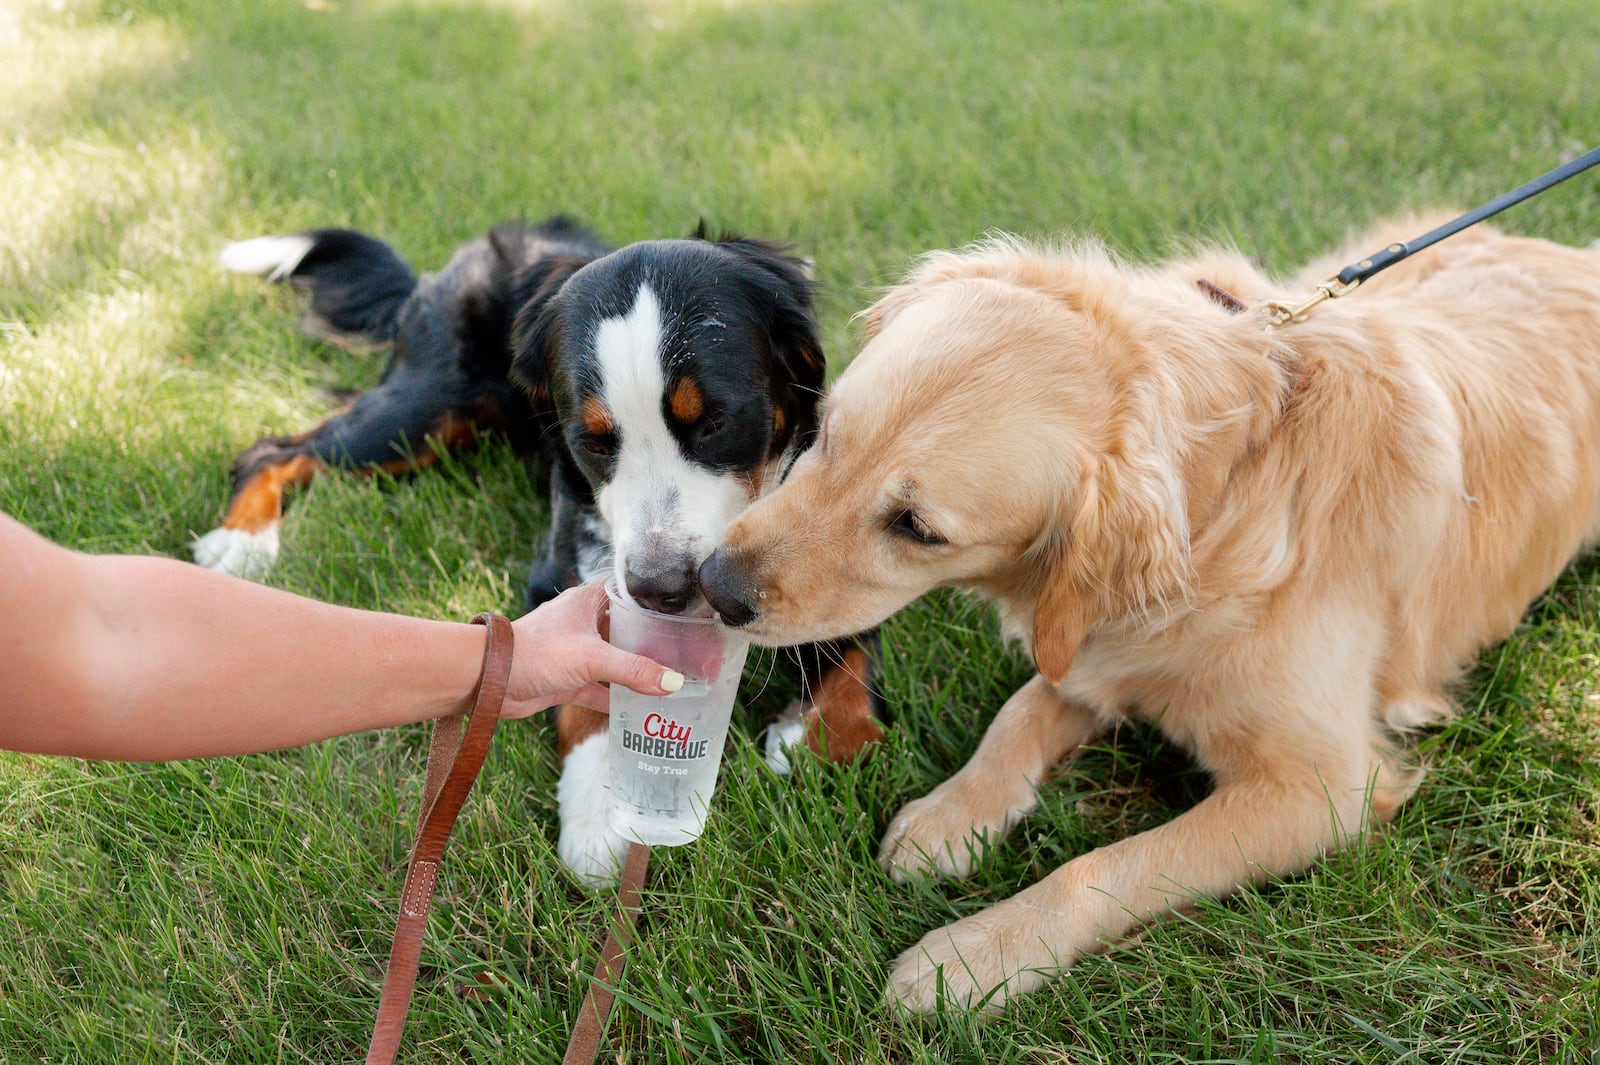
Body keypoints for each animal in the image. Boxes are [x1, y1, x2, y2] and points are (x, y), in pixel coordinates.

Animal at [200, 214, 889, 876]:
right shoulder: (563, 573)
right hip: (421, 416)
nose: (662, 589)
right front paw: (600, 812)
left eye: (716, 421)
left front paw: (806, 736)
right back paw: (240, 542)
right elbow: (589, 676)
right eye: (594, 442)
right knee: (270, 450)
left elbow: (856, 697)